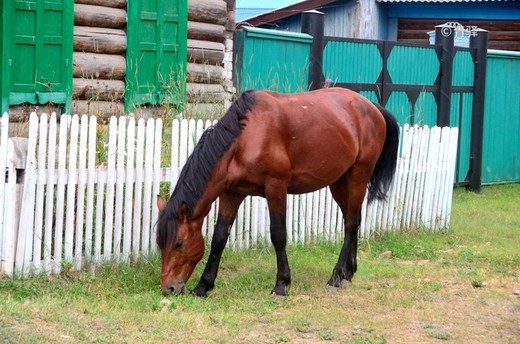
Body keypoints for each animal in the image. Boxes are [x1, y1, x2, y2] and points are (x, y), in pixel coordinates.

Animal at [156, 87, 400, 296]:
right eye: (160, 244)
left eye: (179, 243)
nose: (169, 288)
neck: (245, 139)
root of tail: (372, 107)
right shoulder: (231, 194)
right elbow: (219, 237)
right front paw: (203, 286)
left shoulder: (276, 188)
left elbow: (278, 235)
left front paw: (282, 284)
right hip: (339, 182)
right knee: (354, 220)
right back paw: (348, 274)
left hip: (358, 177)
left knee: (350, 225)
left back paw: (336, 277)